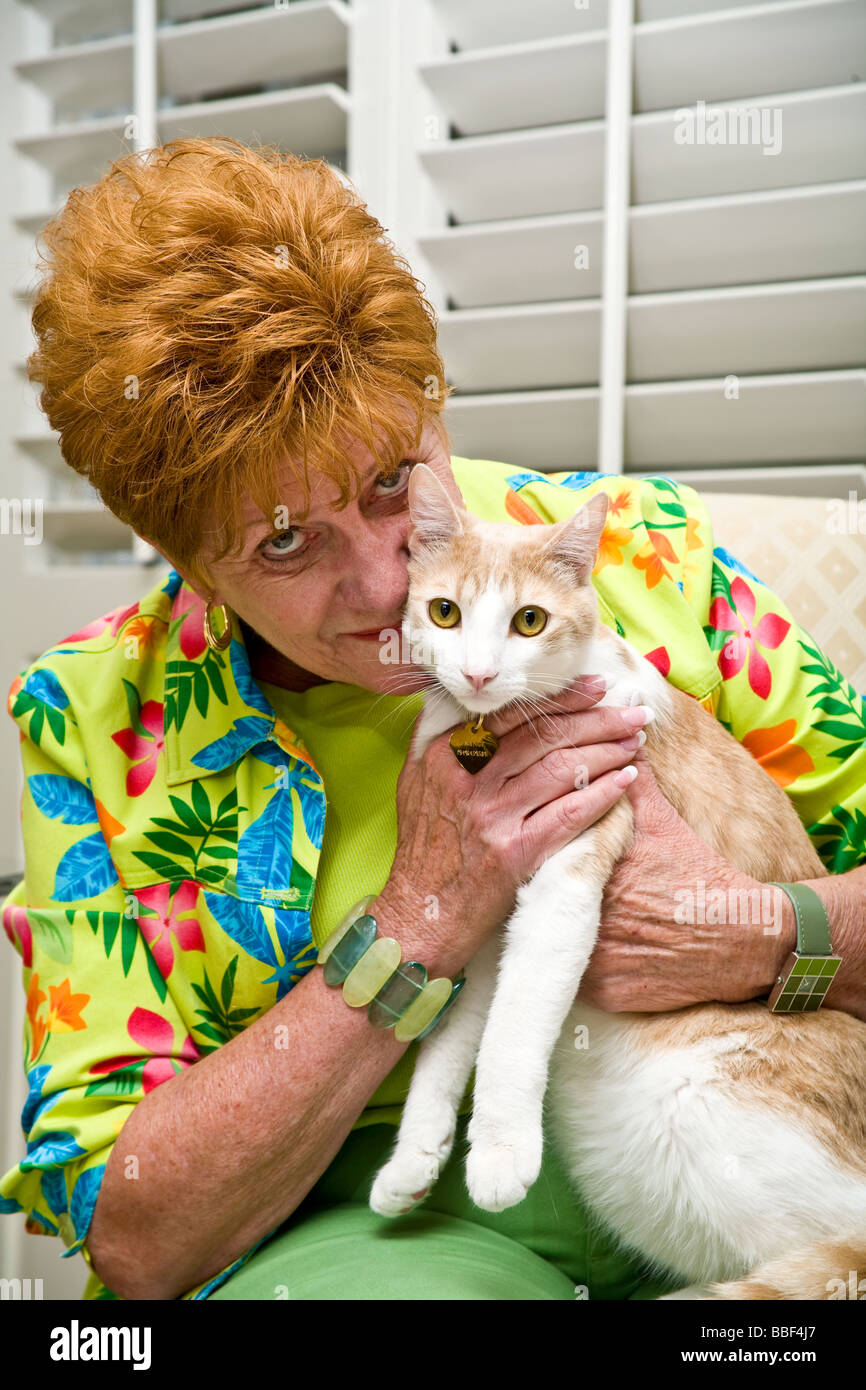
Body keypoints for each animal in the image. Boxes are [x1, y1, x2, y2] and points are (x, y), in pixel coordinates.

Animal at [369, 467, 866, 1301]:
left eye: (528, 621)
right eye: (445, 613)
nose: (477, 672)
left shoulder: (562, 887)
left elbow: (512, 1030)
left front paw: (499, 1154)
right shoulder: (485, 922)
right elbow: (450, 1040)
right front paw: (416, 1158)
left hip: (700, 1108)